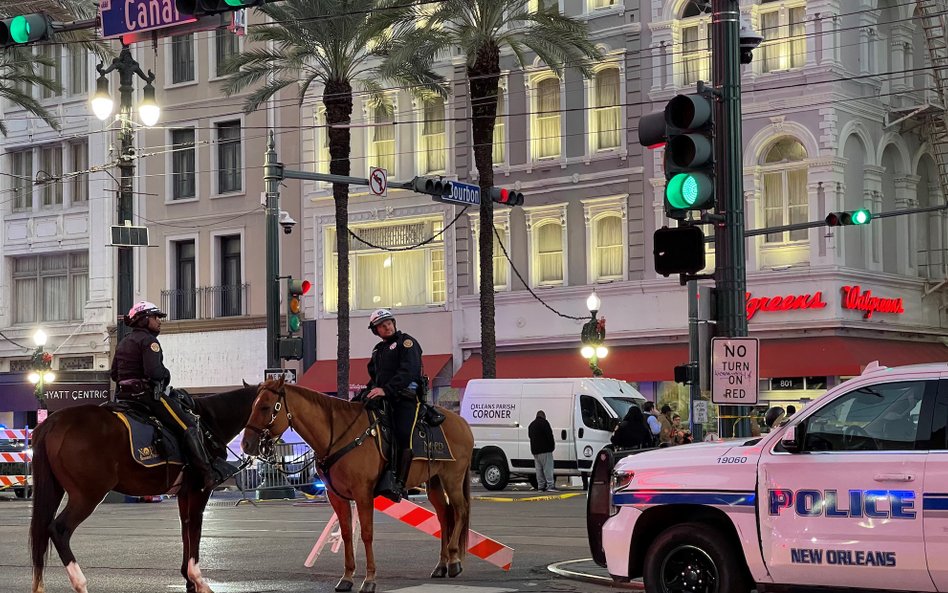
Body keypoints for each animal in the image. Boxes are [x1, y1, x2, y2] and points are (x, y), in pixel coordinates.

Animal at [29, 384, 260, 592]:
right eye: (265, 407)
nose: (250, 445)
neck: (208, 422)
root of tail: (53, 421)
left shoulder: (184, 493)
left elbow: (186, 529)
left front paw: (189, 580)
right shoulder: (199, 490)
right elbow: (195, 528)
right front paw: (198, 580)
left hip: (56, 490)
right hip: (87, 495)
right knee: (59, 529)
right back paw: (80, 583)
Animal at [243, 380, 474, 592]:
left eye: (265, 407)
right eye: (252, 405)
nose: (246, 444)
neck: (338, 435)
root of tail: (461, 421)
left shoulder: (363, 495)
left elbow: (366, 534)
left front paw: (369, 579)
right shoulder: (337, 497)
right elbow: (346, 534)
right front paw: (347, 577)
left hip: (452, 478)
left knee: (461, 511)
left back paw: (454, 561)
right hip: (434, 481)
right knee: (444, 516)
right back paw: (442, 564)